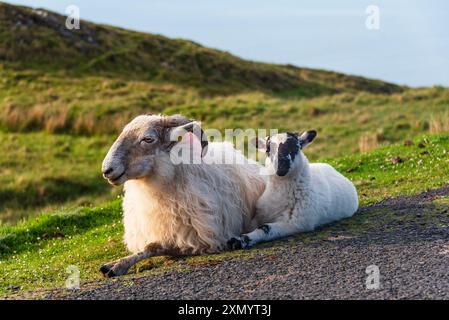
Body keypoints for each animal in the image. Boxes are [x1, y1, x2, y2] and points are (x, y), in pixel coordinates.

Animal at [228, 131, 356, 250]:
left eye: (296, 146)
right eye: (268, 149)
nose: (281, 167)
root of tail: (334, 169)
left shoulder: (294, 224)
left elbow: (265, 228)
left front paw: (239, 241)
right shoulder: (258, 216)